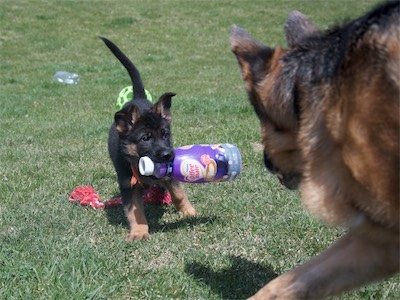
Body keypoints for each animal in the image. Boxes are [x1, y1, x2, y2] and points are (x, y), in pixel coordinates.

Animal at [100, 38, 197, 243]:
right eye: (145, 138)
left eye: (165, 134)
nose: (168, 155)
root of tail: (137, 98)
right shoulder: (128, 184)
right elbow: (135, 211)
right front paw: (139, 232)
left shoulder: (169, 174)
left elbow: (178, 193)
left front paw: (189, 213)